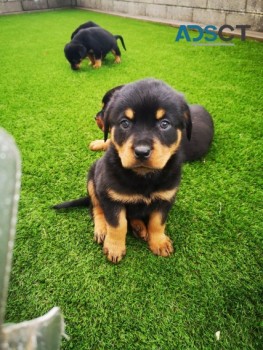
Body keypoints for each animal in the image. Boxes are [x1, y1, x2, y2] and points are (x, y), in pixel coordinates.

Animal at [53, 77, 214, 262]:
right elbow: (117, 224)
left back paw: (139, 228)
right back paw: (102, 229)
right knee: (96, 207)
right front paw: (114, 247)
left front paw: (159, 242)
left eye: (164, 124)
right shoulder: (110, 197)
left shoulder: (166, 197)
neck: (143, 177)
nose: (142, 152)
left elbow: (157, 222)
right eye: (125, 123)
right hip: (92, 179)